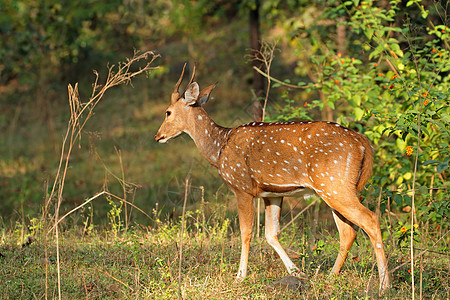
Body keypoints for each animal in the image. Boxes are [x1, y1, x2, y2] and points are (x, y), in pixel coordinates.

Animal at [155, 63, 390, 290]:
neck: (219, 148)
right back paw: (331, 277)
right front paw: (297, 272)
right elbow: (271, 233)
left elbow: (246, 232)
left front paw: (240, 277)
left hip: (334, 185)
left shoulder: (242, 187)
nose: (158, 136)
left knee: (370, 219)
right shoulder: (273, 193)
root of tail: (363, 143)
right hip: (337, 188)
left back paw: (384, 284)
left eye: (167, 112)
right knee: (348, 232)